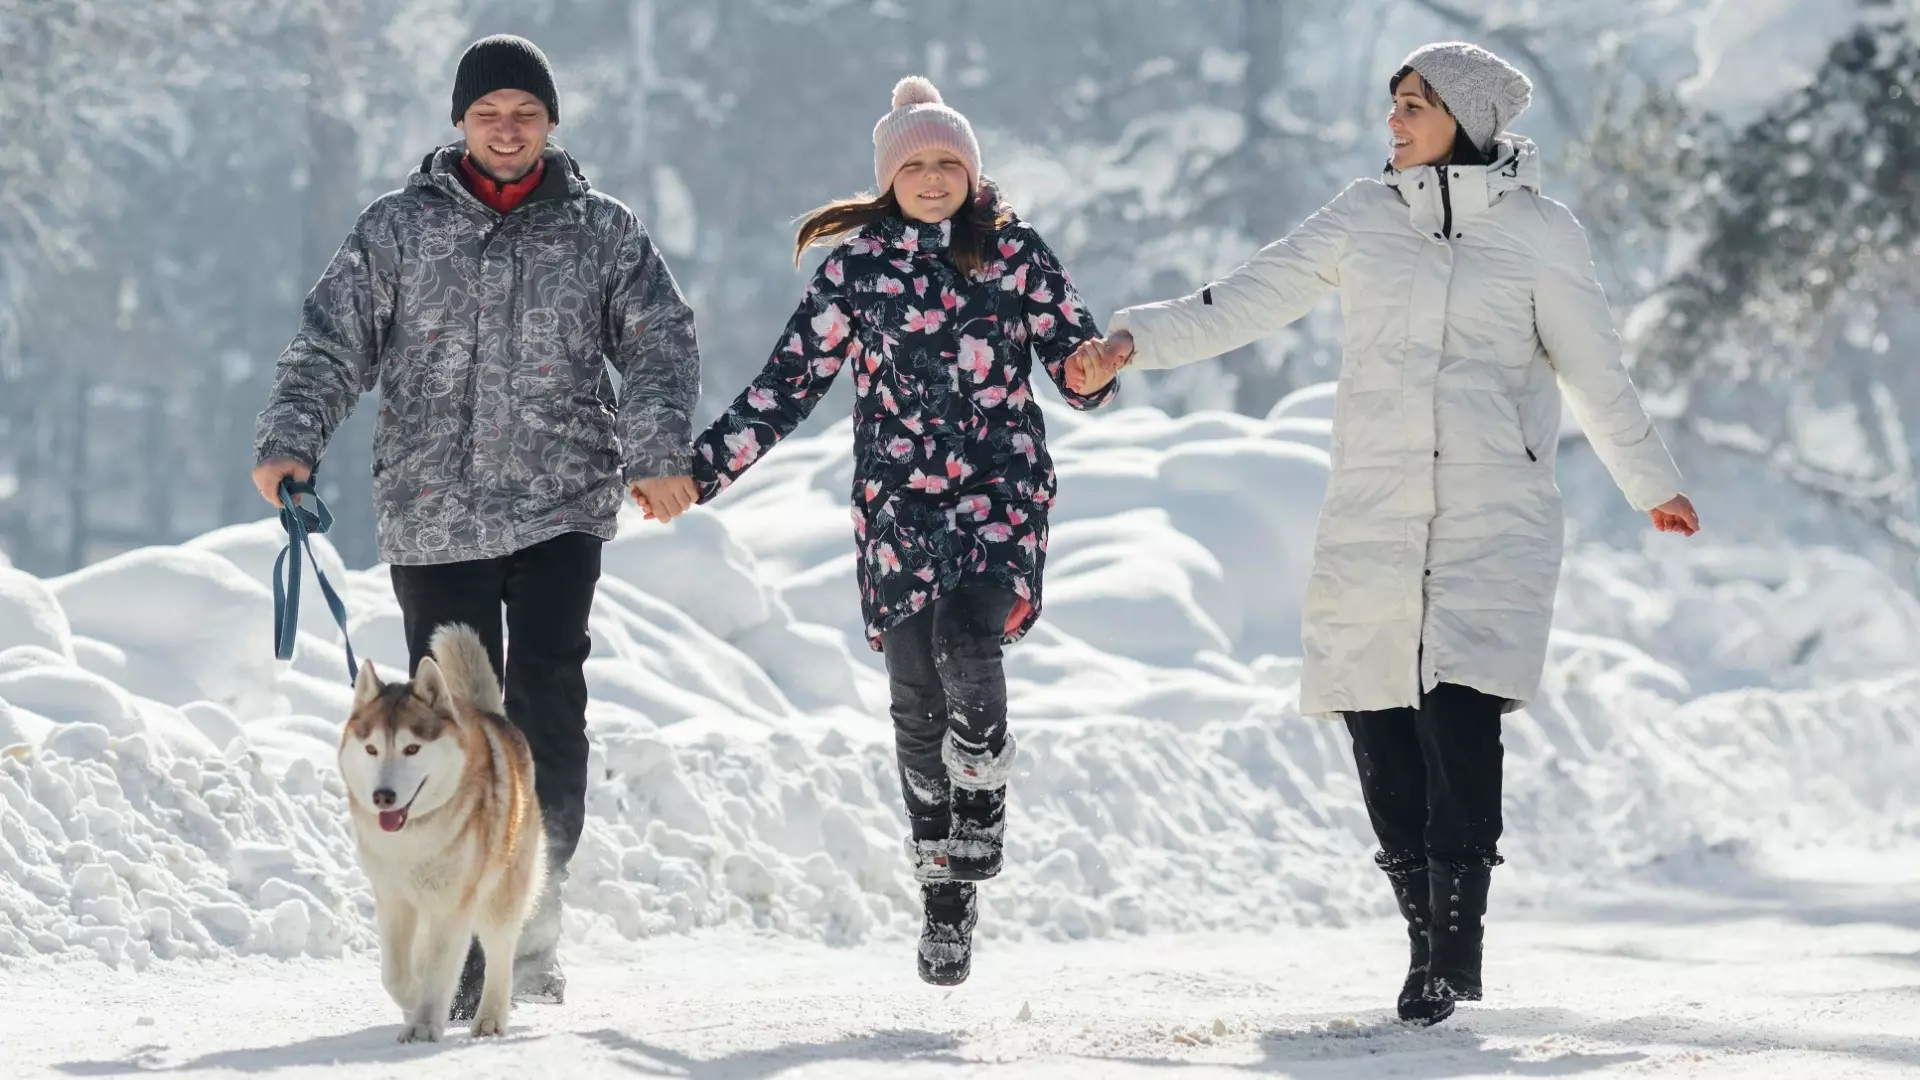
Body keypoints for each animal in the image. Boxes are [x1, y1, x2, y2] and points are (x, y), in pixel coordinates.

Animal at [337, 626, 545, 1037]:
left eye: (412, 748)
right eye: (371, 749)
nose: (383, 796)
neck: (412, 838)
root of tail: (491, 716)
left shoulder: (452, 904)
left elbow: (438, 969)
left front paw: (423, 1025)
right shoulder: (393, 899)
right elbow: (395, 974)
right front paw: (414, 1005)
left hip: (500, 894)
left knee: (500, 954)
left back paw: (490, 1018)